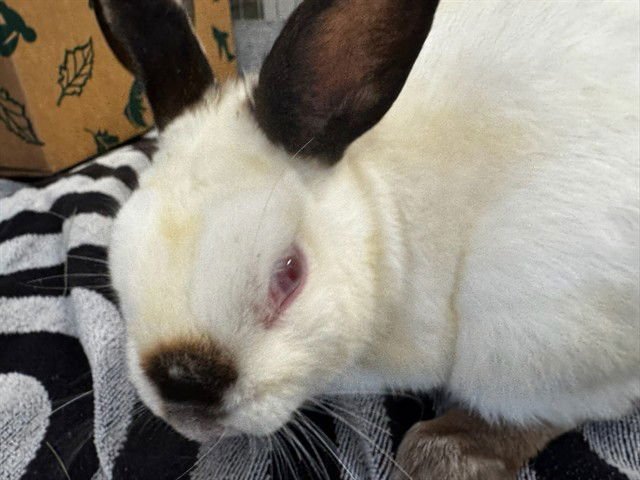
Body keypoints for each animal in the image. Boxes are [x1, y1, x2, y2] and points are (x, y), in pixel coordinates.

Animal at [98, 0, 640, 478]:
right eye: (119, 267)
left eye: (290, 273)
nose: (183, 387)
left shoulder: (544, 337)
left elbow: (544, 411)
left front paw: (441, 454)